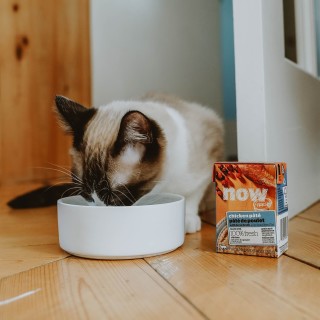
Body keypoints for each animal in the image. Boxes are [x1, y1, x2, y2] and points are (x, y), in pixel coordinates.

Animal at [7, 93, 224, 232]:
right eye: (87, 195)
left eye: (114, 197)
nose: (101, 209)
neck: (162, 186)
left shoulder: (209, 152)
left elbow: (192, 195)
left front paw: (188, 219)